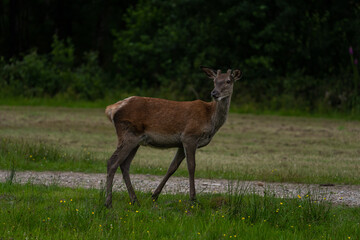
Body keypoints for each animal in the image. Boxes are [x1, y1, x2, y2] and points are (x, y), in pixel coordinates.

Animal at [104, 66, 242, 207]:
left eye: (228, 81)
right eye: (214, 81)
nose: (214, 93)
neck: (211, 120)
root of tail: (111, 109)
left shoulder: (181, 143)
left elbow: (172, 167)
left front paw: (154, 195)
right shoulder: (190, 136)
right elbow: (191, 166)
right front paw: (193, 199)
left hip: (136, 140)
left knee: (124, 165)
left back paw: (134, 200)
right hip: (128, 134)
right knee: (112, 162)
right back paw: (108, 202)